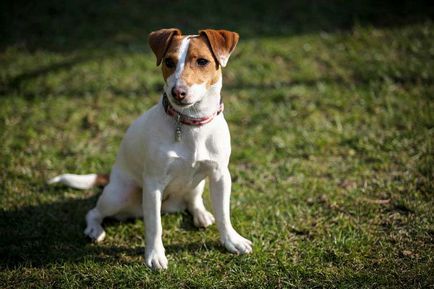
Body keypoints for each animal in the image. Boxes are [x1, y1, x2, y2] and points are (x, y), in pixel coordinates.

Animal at [48, 28, 253, 268]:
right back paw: (94, 229)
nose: (177, 92)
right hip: (119, 195)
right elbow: (155, 225)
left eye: (202, 61)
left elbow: (224, 214)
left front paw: (231, 240)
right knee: (94, 212)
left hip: (199, 182)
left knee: (193, 199)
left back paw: (201, 214)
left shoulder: (220, 175)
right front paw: (155, 255)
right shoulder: (153, 184)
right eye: (169, 62)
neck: (191, 124)